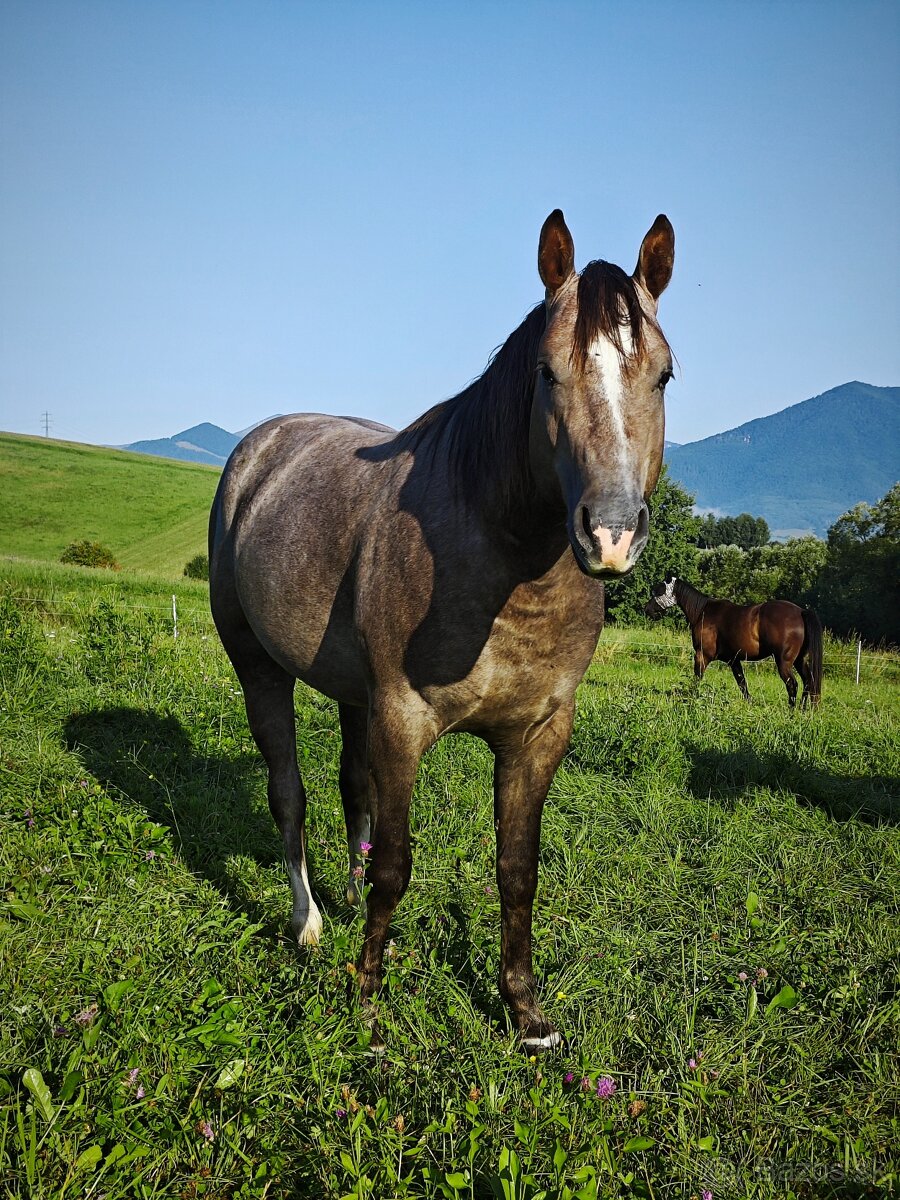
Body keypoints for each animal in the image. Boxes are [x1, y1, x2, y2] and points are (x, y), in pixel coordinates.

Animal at [209, 209, 675, 1051]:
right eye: (547, 373)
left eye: (663, 375)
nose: (612, 533)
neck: (504, 561)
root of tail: (258, 449)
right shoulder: (402, 718)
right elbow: (397, 863)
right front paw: (367, 1004)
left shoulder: (538, 734)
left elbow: (517, 870)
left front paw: (525, 1014)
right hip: (259, 667)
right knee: (289, 793)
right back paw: (309, 923)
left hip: (351, 693)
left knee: (349, 787)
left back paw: (347, 901)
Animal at [644, 573, 823, 707]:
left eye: (658, 591)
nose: (647, 609)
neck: (702, 612)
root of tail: (801, 612)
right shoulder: (734, 660)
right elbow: (742, 684)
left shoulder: (702, 655)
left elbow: (696, 679)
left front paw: (691, 699)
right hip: (798, 660)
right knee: (808, 681)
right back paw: (803, 709)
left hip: (784, 662)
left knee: (793, 685)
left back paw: (792, 710)